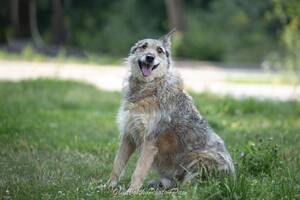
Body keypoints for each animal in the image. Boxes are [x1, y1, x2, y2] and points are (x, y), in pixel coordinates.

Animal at [106, 30, 233, 194]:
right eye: (143, 46)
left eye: (159, 50)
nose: (150, 57)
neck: (147, 89)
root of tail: (233, 176)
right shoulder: (128, 136)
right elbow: (117, 165)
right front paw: (108, 187)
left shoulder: (150, 142)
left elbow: (138, 171)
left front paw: (131, 193)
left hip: (196, 159)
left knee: (191, 187)